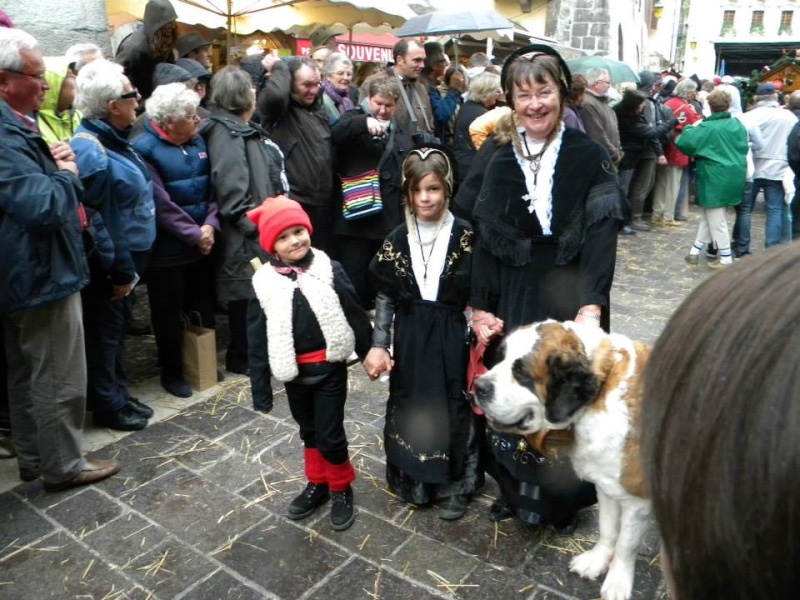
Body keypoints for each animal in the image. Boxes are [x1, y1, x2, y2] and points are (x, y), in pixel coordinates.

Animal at [476, 322, 648, 600]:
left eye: (521, 373)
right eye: (499, 358)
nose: (477, 386)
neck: (601, 390)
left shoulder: (636, 499)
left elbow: (626, 543)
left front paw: (617, 583)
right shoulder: (607, 486)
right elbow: (608, 528)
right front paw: (597, 561)